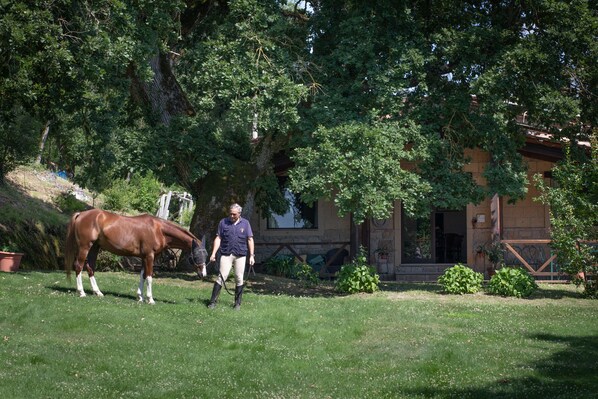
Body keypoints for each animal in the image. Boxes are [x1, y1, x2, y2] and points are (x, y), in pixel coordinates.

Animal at [65, 208, 209, 304]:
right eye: (196, 254)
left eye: (206, 254)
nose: (203, 274)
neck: (158, 230)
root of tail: (81, 214)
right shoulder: (149, 256)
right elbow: (149, 277)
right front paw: (150, 299)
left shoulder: (146, 257)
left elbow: (143, 275)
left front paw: (140, 297)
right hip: (85, 247)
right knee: (79, 266)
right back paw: (81, 292)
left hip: (94, 247)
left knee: (90, 267)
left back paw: (97, 292)